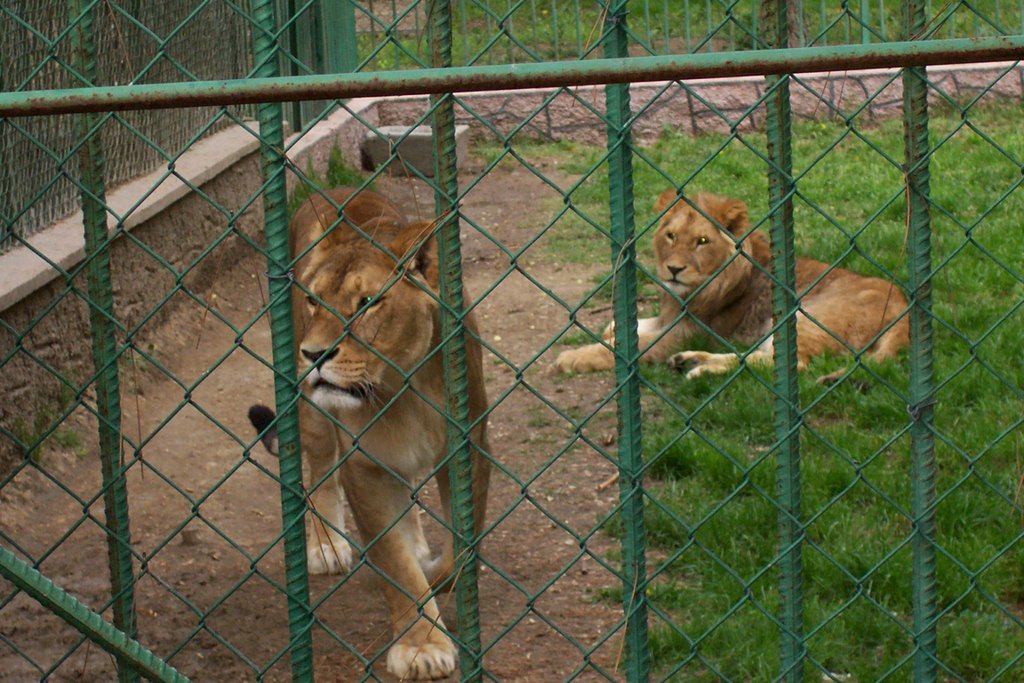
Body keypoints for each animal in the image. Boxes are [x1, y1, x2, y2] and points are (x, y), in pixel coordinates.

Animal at [246, 185, 487, 679]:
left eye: (367, 303)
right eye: (314, 300)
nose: (314, 354)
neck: (401, 388)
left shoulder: (468, 445)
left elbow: (460, 546)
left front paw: (433, 569)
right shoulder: (363, 466)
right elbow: (394, 564)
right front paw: (420, 645)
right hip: (313, 417)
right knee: (320, 472)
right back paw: (326, 546)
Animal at [557, 189, 909, 376]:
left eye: (701, 241)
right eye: (671, 236)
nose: (673, 269)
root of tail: (905, 307)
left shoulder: (690, 332)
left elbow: (634, 346)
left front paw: (574, 357)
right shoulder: (671, 319)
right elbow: (630, 326)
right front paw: (612, 328)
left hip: (802, 317)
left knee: (789, 364)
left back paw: (699, 368)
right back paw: (690, 360)